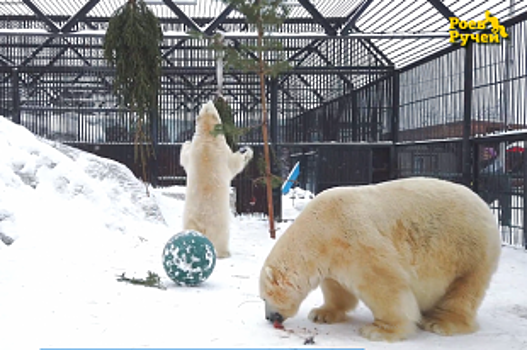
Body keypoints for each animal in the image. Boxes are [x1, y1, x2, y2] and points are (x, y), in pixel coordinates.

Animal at [179, 100, 254, 258]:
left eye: (204, 107)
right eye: (212, 108)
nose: (210, 100)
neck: (207, 137)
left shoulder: (195, 152)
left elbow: (185, 157)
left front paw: (186, 143)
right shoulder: (222, 151)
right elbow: (235, 163)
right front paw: (247, 151)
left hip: (188, 221)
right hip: (220, 225)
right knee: (222, 238)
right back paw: (225, 253)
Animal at [260, 176, 504, 340]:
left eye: (264, 298)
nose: (269, 318)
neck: (319, 229)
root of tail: (486, 208)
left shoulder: (354, 240)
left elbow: (384, 284)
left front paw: (379, 330)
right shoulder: (333, 255)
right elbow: (337, 287)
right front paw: (322, 313)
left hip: (467, 251)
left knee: (463, 291)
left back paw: (440, 322)